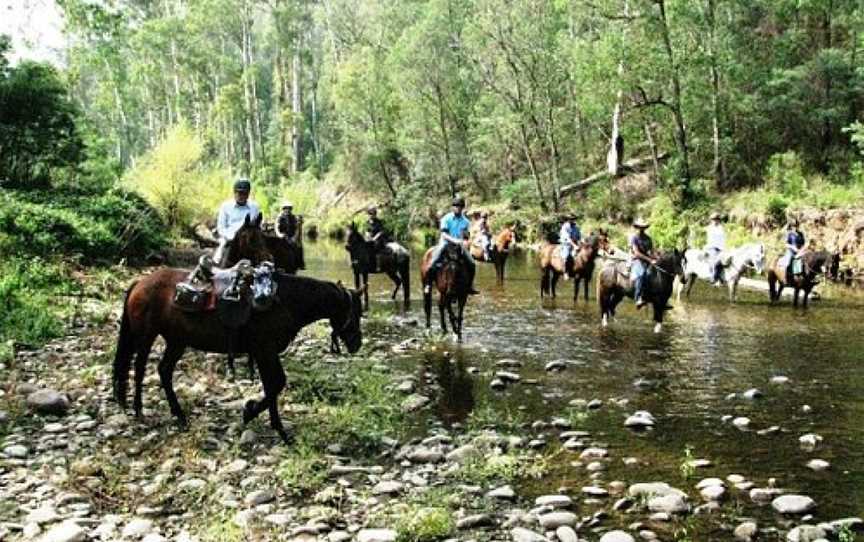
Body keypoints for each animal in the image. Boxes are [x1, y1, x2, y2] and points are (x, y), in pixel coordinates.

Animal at [111, 270, 362, 444]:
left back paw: (179, 415)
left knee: (164, 371)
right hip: (146, 336)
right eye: (356, 312)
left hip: (176, 342)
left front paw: (269, 422)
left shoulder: (263, 353)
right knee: (140, 368)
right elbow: (276, 384)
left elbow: (272, 385)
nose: (357, 344)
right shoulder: (265, 350)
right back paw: (139, 409)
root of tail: (139, 283)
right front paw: (255, 415)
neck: (285, 300)